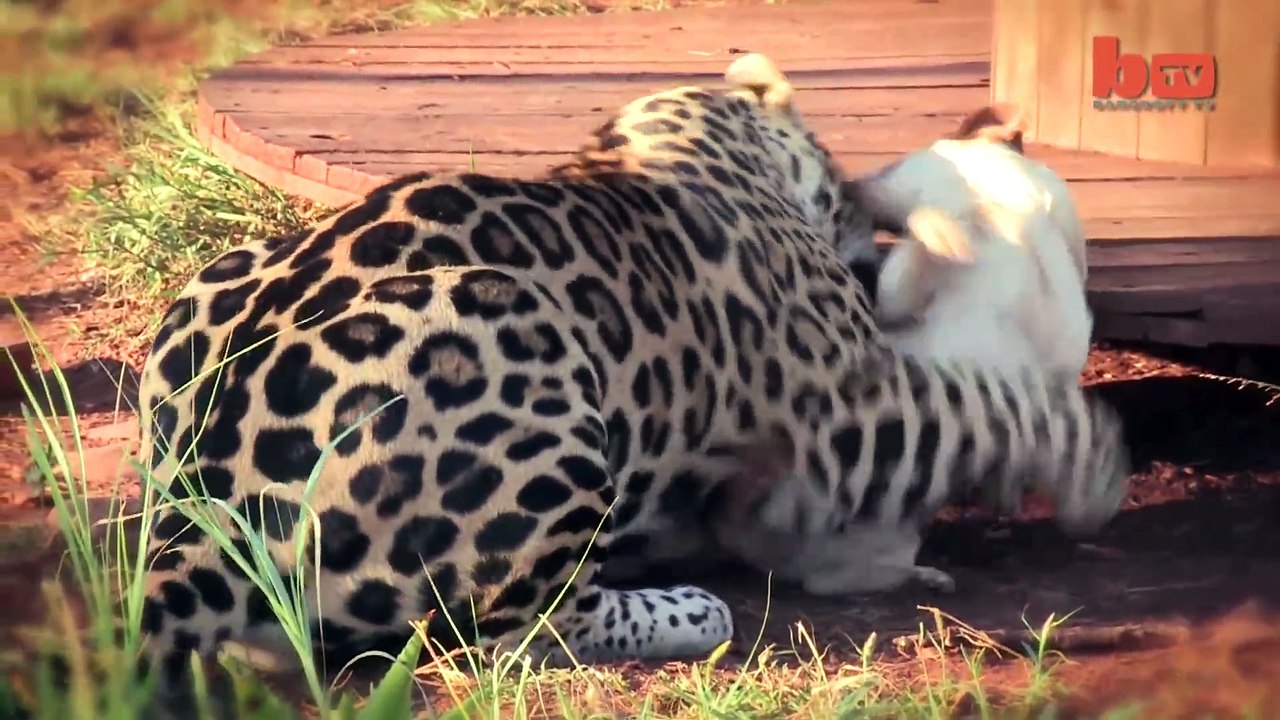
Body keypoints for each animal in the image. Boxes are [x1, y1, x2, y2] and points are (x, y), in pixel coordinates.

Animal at [134, 52, 1130, 699]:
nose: (855, 211)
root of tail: (197, 517)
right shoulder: (849, 403)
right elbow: (991, 403)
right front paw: (1094, 466)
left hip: (215, 279)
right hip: (517, 332)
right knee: (515, 636)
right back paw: (690, 608)